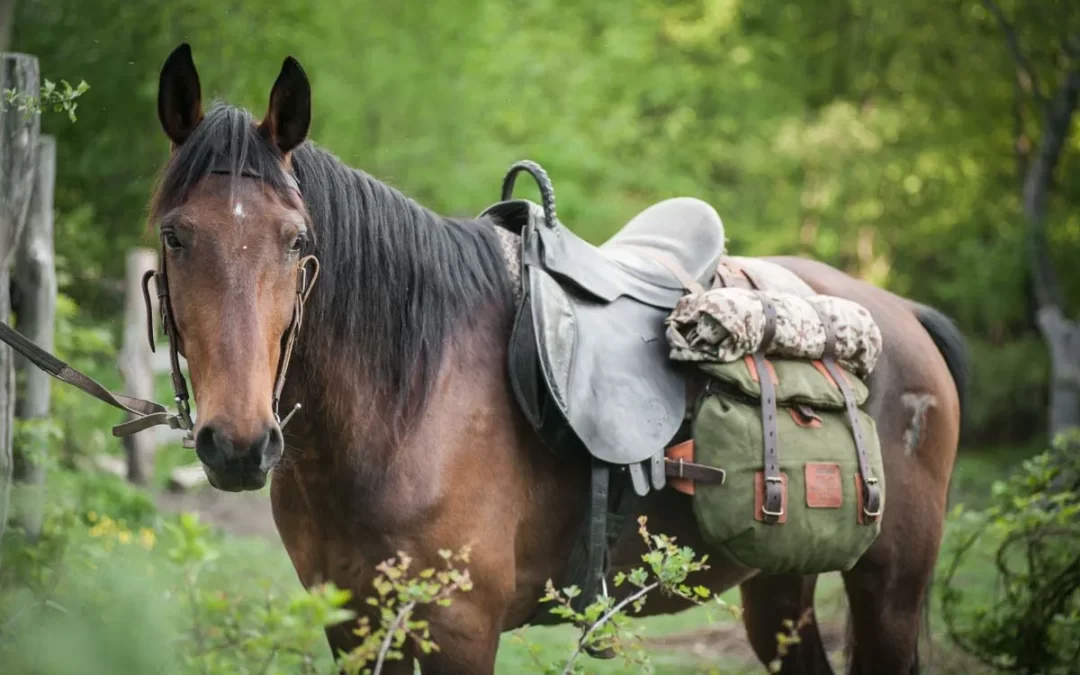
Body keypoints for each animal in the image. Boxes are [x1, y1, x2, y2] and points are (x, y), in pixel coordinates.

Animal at [147, 43, 966, 675]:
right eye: (175, 235)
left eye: (295, 241)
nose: (239, 443)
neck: (406, 404)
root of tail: (901, 312)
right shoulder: (353, 627)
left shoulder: (459, 630)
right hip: (780, 587)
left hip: (889, 589)